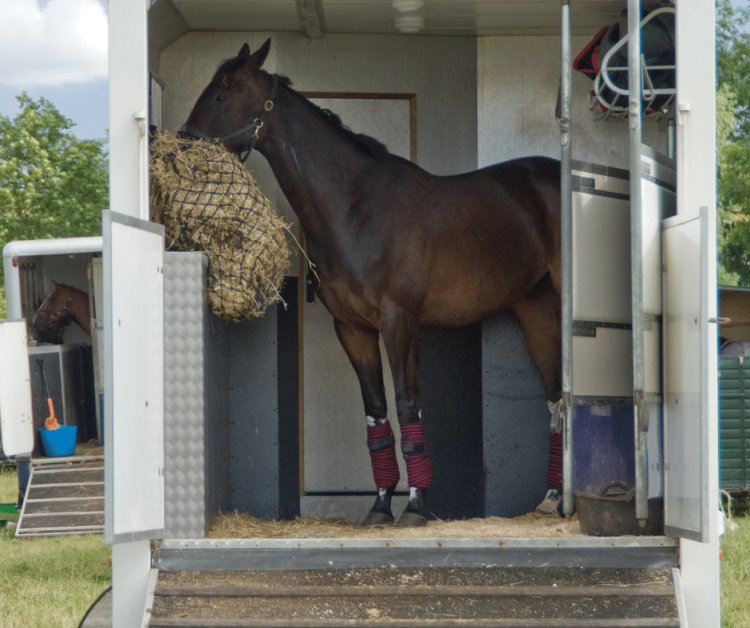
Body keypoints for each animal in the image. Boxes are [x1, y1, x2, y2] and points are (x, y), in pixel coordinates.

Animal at [182, 40, 560, 524]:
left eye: (221, 94)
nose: (183, 144)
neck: (357, 207)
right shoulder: (353, 328)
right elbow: (377, 412)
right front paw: (380, 506)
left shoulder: (400, 323)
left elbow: (407, 404)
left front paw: (415, 507)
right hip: (535, 307)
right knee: (556, 393)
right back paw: (552, 499)